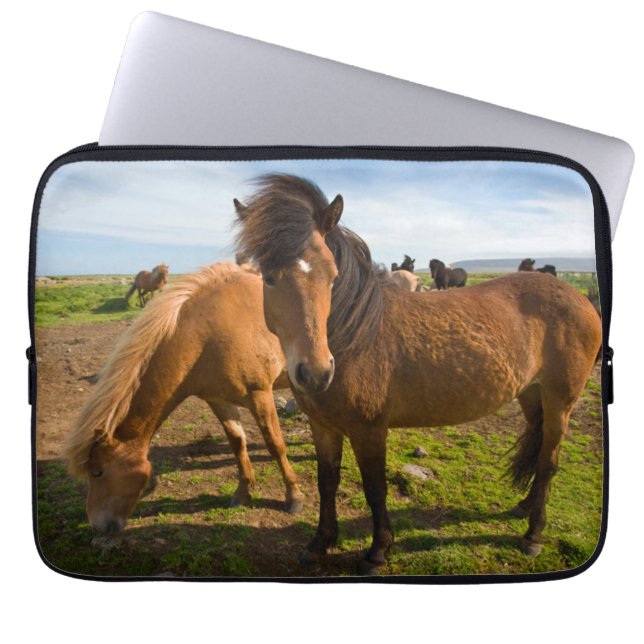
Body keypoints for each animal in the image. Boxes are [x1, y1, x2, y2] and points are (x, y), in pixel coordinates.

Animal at [64, 263, 304, 536]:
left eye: (97, 472)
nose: (97, 525)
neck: (208, 335)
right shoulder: (218, 401)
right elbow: (237, 444)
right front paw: (243, 493)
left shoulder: (260, 395)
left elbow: (275, 445)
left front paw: (293, 496)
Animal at [234, 174, 602, 575]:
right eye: (269, 278)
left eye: (332, 275)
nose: (316, 372)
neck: (357, 334)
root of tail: (580, 298)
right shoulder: (324, 426)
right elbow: (326, 481)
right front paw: (319, 544)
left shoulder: (369, 429)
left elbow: (374, 487)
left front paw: (378, 552)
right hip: (531, 394)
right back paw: (523, 507)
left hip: (561, 400)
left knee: (549, 462)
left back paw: (533, 535)